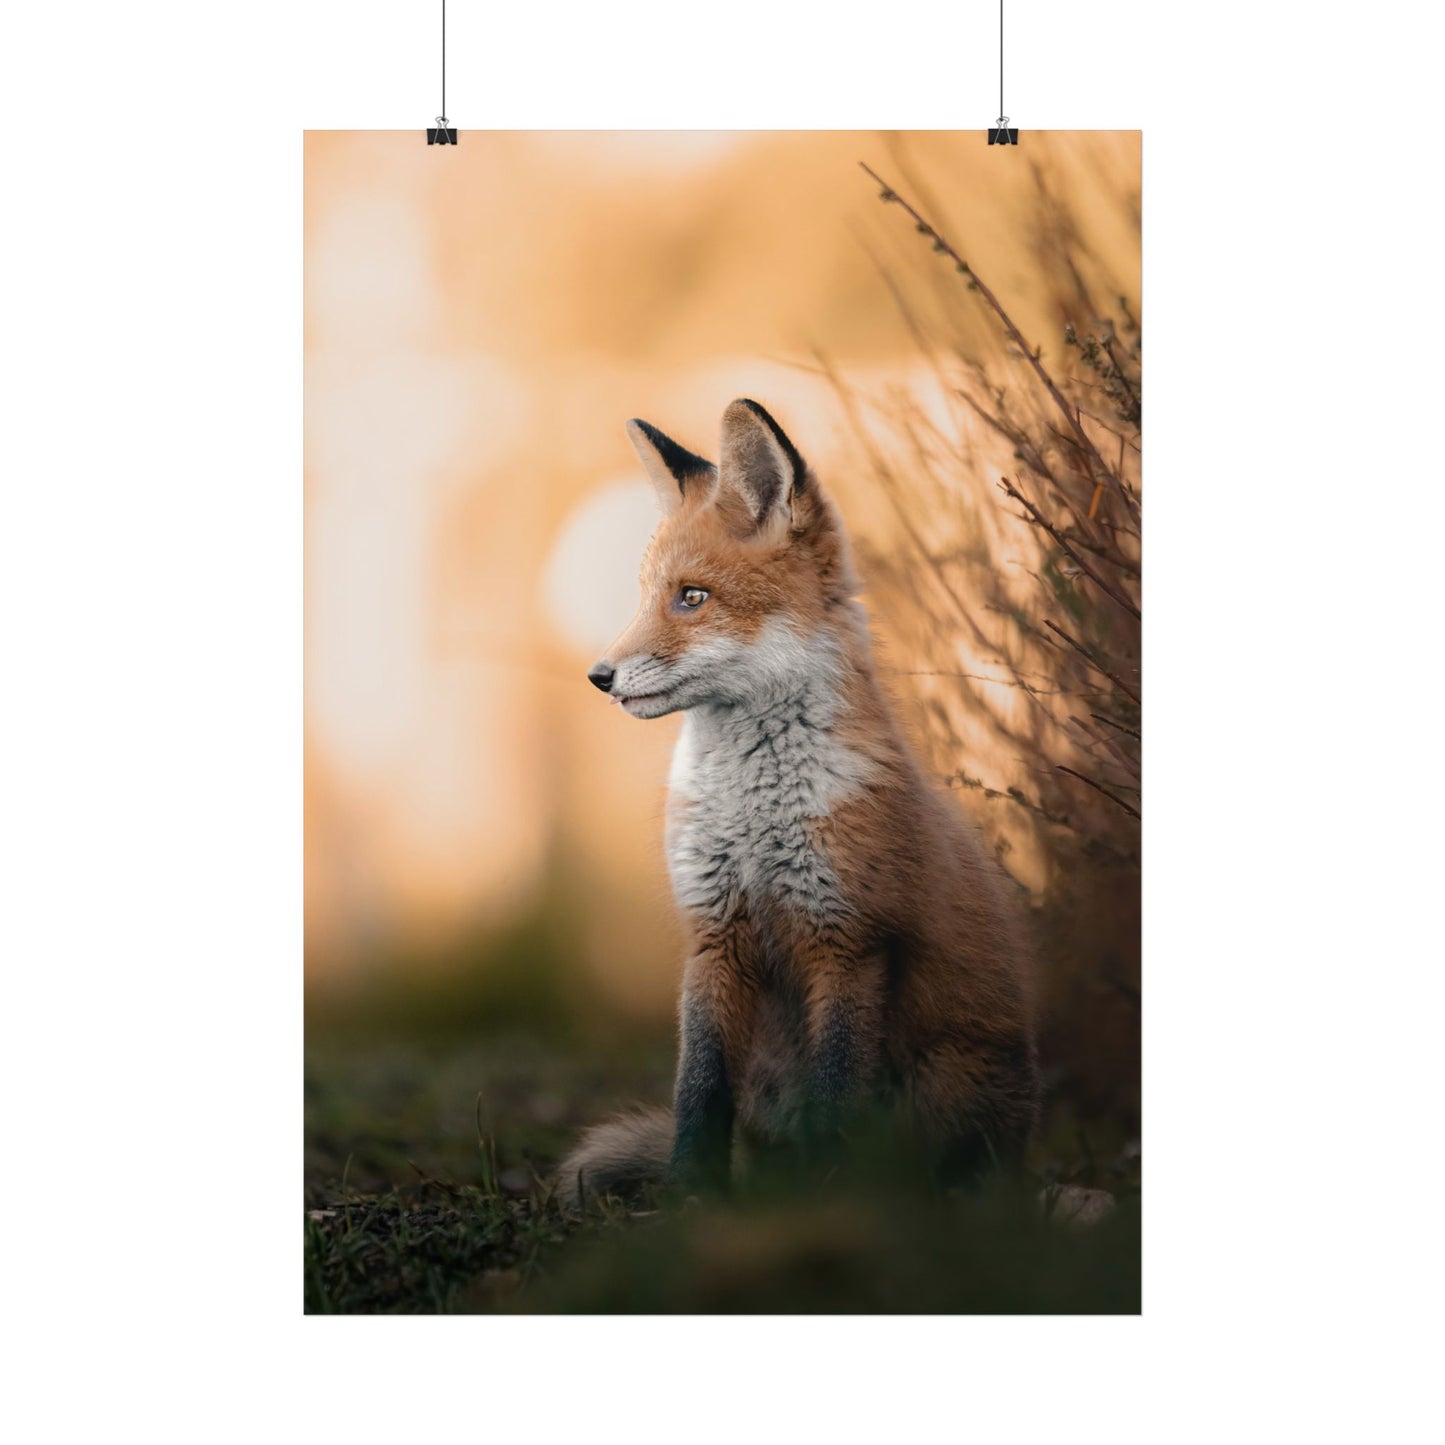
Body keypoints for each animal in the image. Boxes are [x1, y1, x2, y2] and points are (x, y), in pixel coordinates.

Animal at [558, 398, 1040, 1202]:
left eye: (692, 597)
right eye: (646, 595)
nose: (599, 677)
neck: (753, 815)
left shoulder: (847, 938)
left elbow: (835, 1092)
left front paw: (824, 1196)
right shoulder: (712, 934)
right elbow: (697, 1090)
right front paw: (692, 1198)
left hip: (948, 1082)